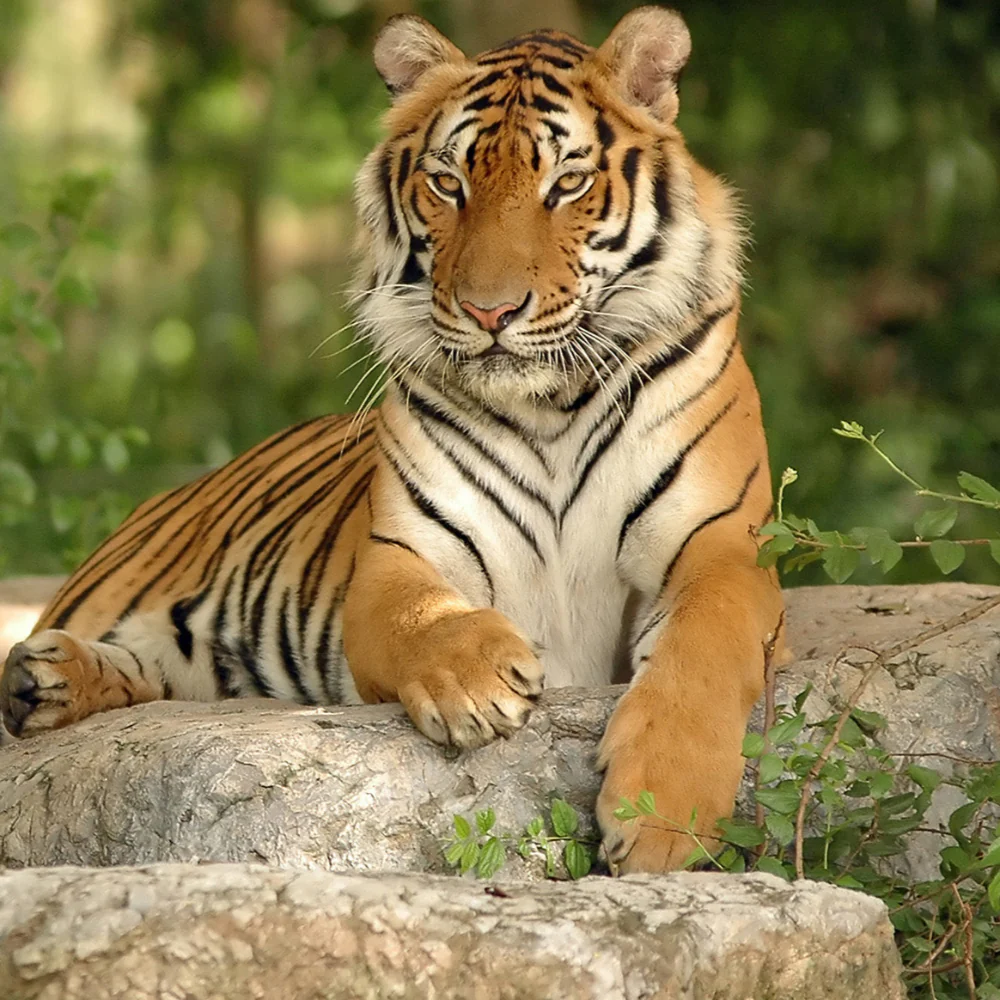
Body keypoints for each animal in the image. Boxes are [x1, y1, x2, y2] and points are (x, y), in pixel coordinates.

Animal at [0, 7, 785, 873]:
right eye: (449, 185)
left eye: (567, 185)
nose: (489, 311)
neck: (549, 406)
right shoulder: (402, 555)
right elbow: (421, 616)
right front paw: (477, 681)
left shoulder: (723, 547)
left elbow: (704, 651)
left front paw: (662, 820)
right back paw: (41, 678)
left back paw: (46, 683)